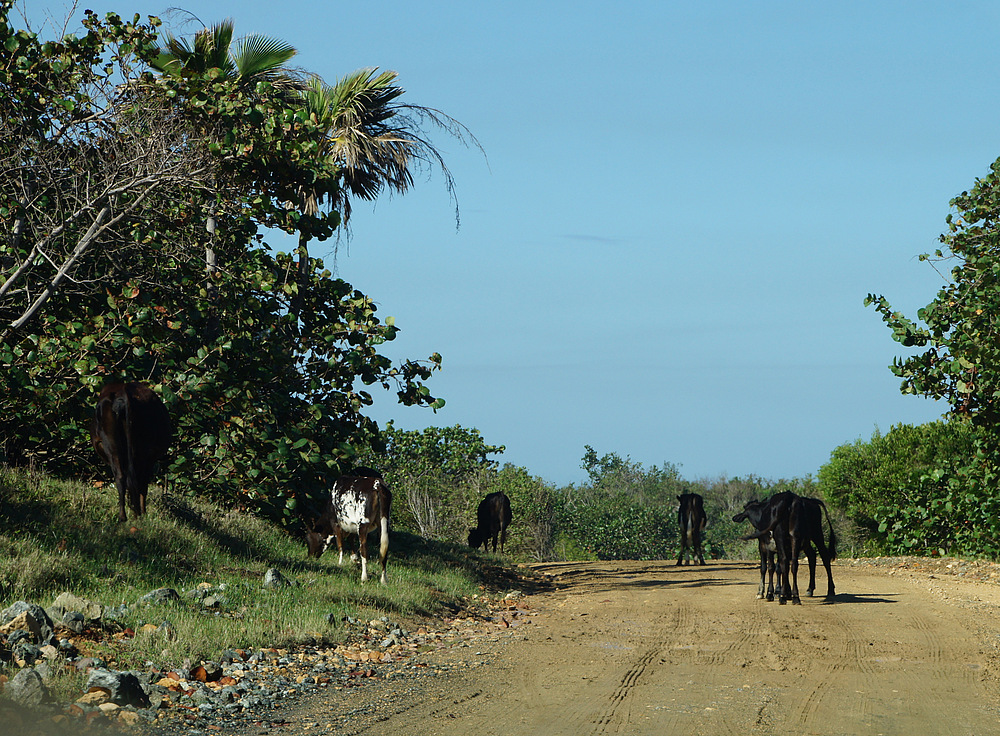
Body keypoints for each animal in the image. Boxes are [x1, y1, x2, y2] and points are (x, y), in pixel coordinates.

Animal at [91, 382, 171, 520]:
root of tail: (122, 392)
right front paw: (142, 512)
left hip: (112, 444)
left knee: (121, 476)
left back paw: (123, 516)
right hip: (140, 451)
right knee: (136, 480)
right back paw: (135, 513)